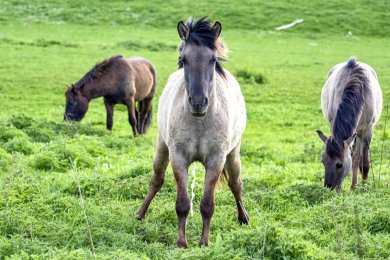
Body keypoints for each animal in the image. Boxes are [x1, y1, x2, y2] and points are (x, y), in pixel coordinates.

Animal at [136, 17, 248, 248]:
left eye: (213, 60)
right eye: (183, 59)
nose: (198, 102)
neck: (199, 122)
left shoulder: (216, 160)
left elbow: (207, 204)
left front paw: (204, 242)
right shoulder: (178, 157)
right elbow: (182, 203)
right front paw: (181, 243)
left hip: (233, 156)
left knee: (235, 184)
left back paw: (244, 218)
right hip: (161, 149)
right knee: (156, 180)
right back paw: (140, 214)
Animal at [316, 58, 382, 190]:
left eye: (339, 165)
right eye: (323, 161)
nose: (329, 187)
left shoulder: (367, 130)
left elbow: (363, 161)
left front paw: (361, 187)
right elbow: (352, 156)